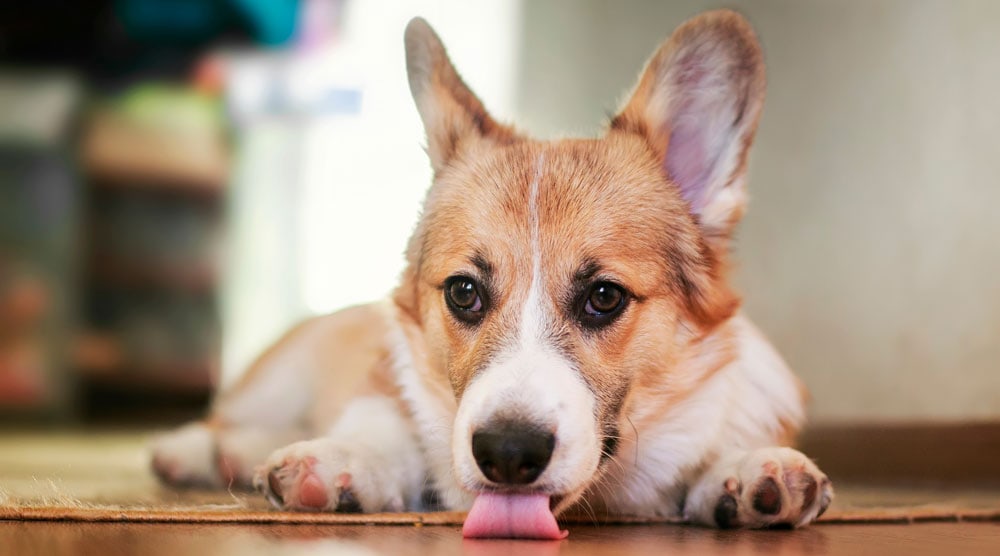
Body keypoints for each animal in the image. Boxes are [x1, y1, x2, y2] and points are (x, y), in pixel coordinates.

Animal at [148, 9, 832, 540]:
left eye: (604, 297)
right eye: (464, 292)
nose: (507, 453)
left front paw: (750, 469)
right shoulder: (386, 385)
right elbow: (384, 427)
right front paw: (343, 460)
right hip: (280, 378)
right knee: (227, 418)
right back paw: (194, 451)